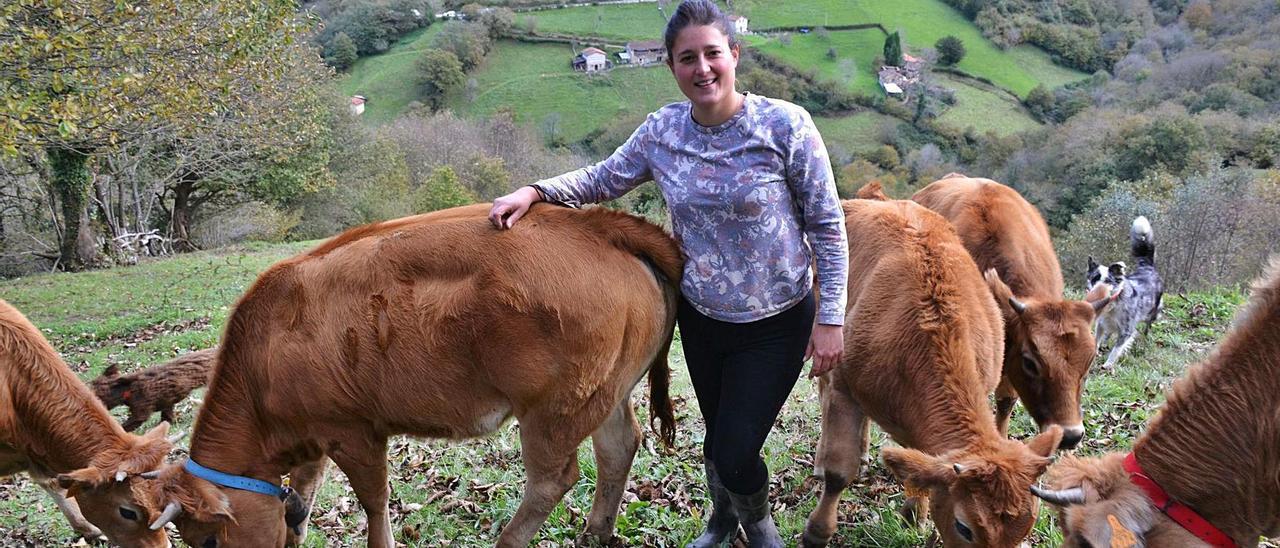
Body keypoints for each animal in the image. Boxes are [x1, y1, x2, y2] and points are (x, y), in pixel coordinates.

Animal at [798, 195, 1059, 548]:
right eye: (964, 527)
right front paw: (817, 532)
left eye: (1028, 527)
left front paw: (914, 514)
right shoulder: (844, 386)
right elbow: (839, 473)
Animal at [1085, 216, 1167, 371]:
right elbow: (1097, 339)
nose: (1095, 293)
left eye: (1108, 281)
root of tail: (1148, 268)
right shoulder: (1101, 323)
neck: (1113, 304)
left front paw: (1108, 365)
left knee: (1148, 325)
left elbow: (1116, 349)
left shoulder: (1126, 331)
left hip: (1152, 313)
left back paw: (1144, 339)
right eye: (1094, 279)